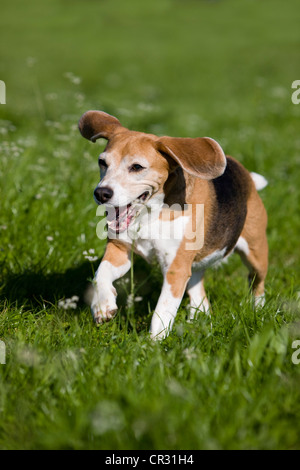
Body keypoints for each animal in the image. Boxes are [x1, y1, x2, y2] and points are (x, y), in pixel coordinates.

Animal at [79, 110, 268, 338]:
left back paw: (258, 311)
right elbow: (101, 274)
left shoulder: (175, 269)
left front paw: (153, 343)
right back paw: (199, 318)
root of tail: (247, 176)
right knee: (198, 290)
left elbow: (163, 310)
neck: (150, 215)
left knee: (257, 283)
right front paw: (103, 306)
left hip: (256, 253)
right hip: (195, 265)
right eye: (102, 162)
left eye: (137, 167)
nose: (101, 193)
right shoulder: (119, 251)